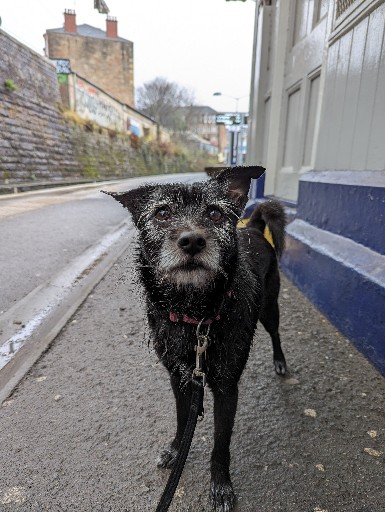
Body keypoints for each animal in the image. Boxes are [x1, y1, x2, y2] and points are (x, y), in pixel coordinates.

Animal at [104, 166, 284, 510]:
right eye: (162, 213)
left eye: (215, 213)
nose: (191, 241)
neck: (194, 317)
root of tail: (254, 228)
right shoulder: (180, 378)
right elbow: (180, 418)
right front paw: (177, 450)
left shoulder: (227, 389)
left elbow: (221, 444)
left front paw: (221, 485)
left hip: (270, 309)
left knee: (276, 333)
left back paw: (280, 361)